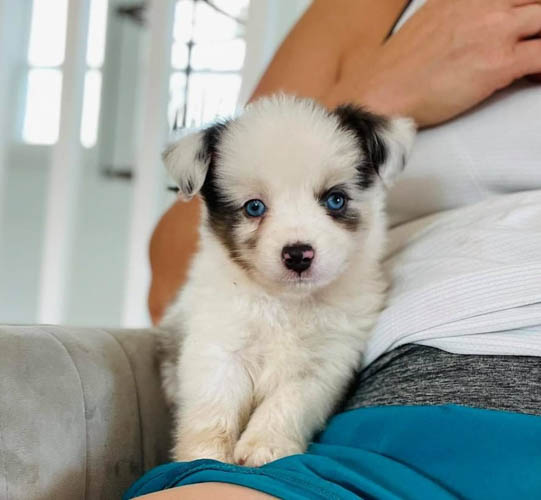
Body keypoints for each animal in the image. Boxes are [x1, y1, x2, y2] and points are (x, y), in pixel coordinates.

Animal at [156, 94, 414, 468]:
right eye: (254, 207)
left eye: (335, 199)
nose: (298, 255)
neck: (285, 302)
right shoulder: (219, 345)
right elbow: (214, 407)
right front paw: (204, 456)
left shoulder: (323, 362)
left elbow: (288, 403)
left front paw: (266, 446)